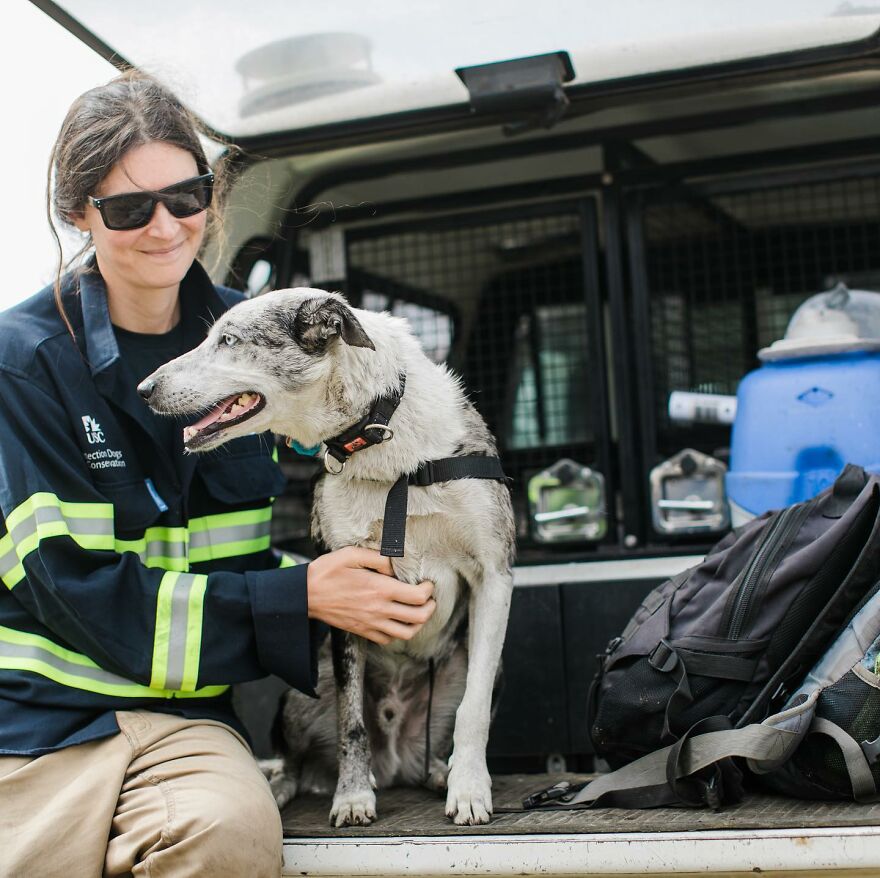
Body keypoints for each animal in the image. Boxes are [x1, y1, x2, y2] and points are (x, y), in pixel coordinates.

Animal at [139, 288, 516, 824]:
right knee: (299, 760)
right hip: (304, 686)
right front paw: (353, 796)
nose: (144, 389)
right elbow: (350, 718)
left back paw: (438, 773)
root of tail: (396, 759)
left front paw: (468, 789)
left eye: (228, 340)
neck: (382, 436)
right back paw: (286, 785)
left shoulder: (493, 576)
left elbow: (473, 708)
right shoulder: (350, 593)